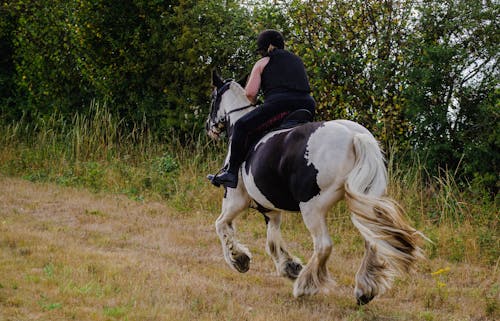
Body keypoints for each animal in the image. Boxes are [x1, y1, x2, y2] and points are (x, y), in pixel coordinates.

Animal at [205, 71, 424, 304]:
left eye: (213, 98)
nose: (209, 128)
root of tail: (355, 136)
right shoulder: (270, 208)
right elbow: (272, 239)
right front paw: (289, 267)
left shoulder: (235, 199)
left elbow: (222, 225)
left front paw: (239, 259)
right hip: (366, 201)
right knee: (372, 241)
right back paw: (365, 290)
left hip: (312, 207)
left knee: (323, 245)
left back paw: (305, 286)